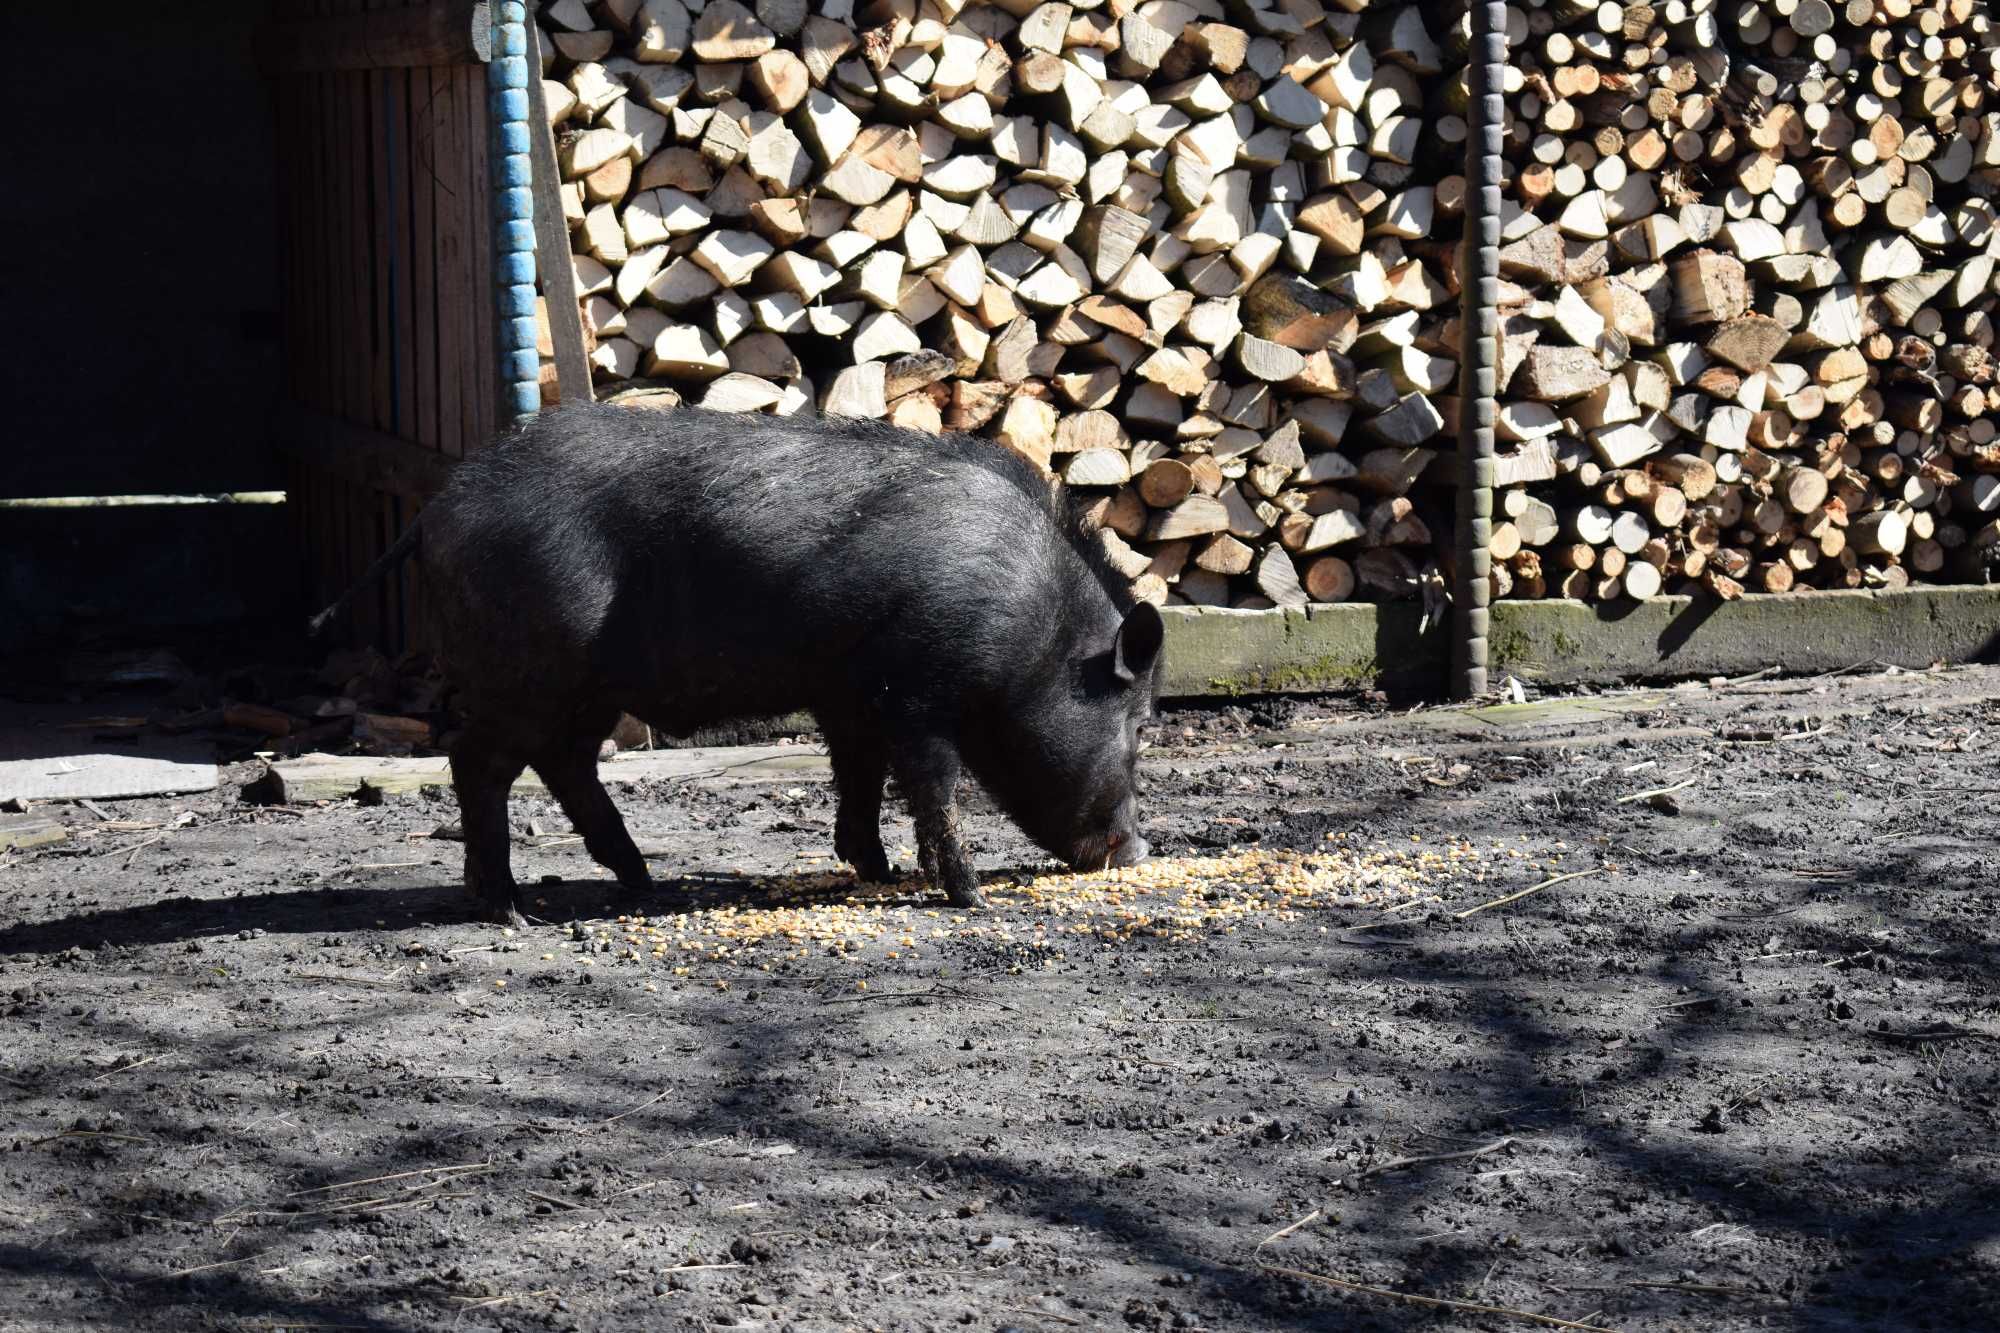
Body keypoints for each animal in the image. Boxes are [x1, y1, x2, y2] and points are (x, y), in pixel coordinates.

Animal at [318, 404, 1168, 924]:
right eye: (1136, 728)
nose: (1138, 849)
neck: (1033, 625)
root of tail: (439, 505)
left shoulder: (851, 697)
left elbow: (860, 777)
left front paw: (881, 872)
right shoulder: (916, 696)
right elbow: (934, 788)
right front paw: (965, 898)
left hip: (585, 688)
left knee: (565, 763)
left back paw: (638, 878)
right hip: (526, 674)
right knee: (479, 764)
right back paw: (513, 910)